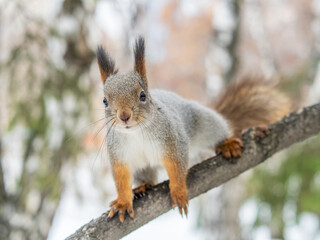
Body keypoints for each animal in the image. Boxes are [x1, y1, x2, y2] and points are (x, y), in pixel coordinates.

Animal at [95, 36, 290, 222]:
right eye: (104, 101)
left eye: (142, 95)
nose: (124, 116)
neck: (135, 133)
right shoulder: (119, 156)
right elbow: (121, 180)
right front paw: (122, 202)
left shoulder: (174, 142)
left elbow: (177, 170)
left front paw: (179, 193)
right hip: (142, 167)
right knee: (147, 175)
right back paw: (143, 186)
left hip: (206, 123)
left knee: (219, 130)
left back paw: (227, 143)